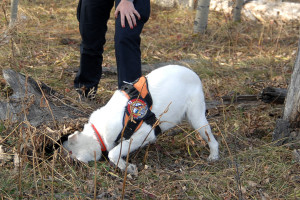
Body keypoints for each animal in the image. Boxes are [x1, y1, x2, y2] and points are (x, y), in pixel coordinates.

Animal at [62, 65, 218, 174]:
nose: (71, 163)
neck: (97, 133)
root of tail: (194, 75)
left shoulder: (142, 135)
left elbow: (114, 153)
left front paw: (127, 167)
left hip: (197, 119)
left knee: (212, 139)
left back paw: (213, 156)